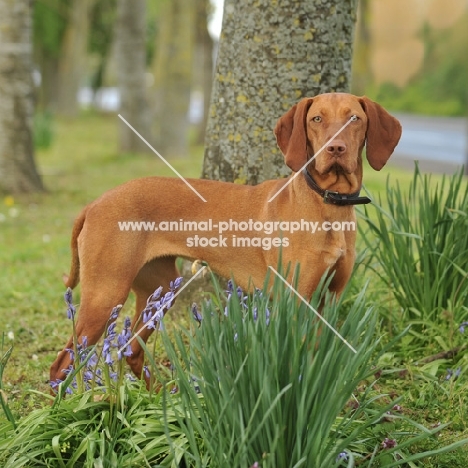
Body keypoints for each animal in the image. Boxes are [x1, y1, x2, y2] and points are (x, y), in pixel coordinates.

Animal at [50, 93, 402, 386]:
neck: (328, 205)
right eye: (316, 119)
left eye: (354, 118)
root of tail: (94, 204)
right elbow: (298, 359)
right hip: (106, 293)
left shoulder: (330, 298)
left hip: (159, 289)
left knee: (132, 352)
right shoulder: (295, 298)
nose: (336, 148)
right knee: (63, 363)